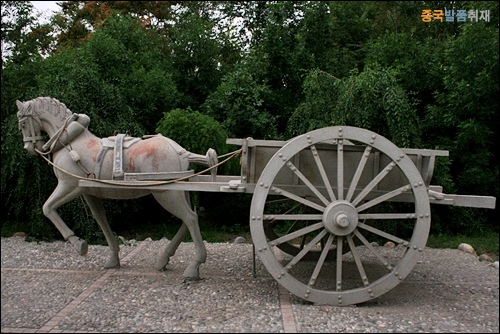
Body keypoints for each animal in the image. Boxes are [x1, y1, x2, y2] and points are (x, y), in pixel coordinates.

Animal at [16, 97, 212, 280]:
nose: (29, 148)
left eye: (23, 123)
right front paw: (112, 258)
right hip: (179, 192)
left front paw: (79, 244)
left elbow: (48, 208)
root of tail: (181, 152)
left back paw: (194, 266)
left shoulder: (69, 185)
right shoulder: (89, 192)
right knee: (187, 220)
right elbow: (101, 219)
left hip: (166, 194)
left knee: (191, 218)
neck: (71, 141)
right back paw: (163, 260)